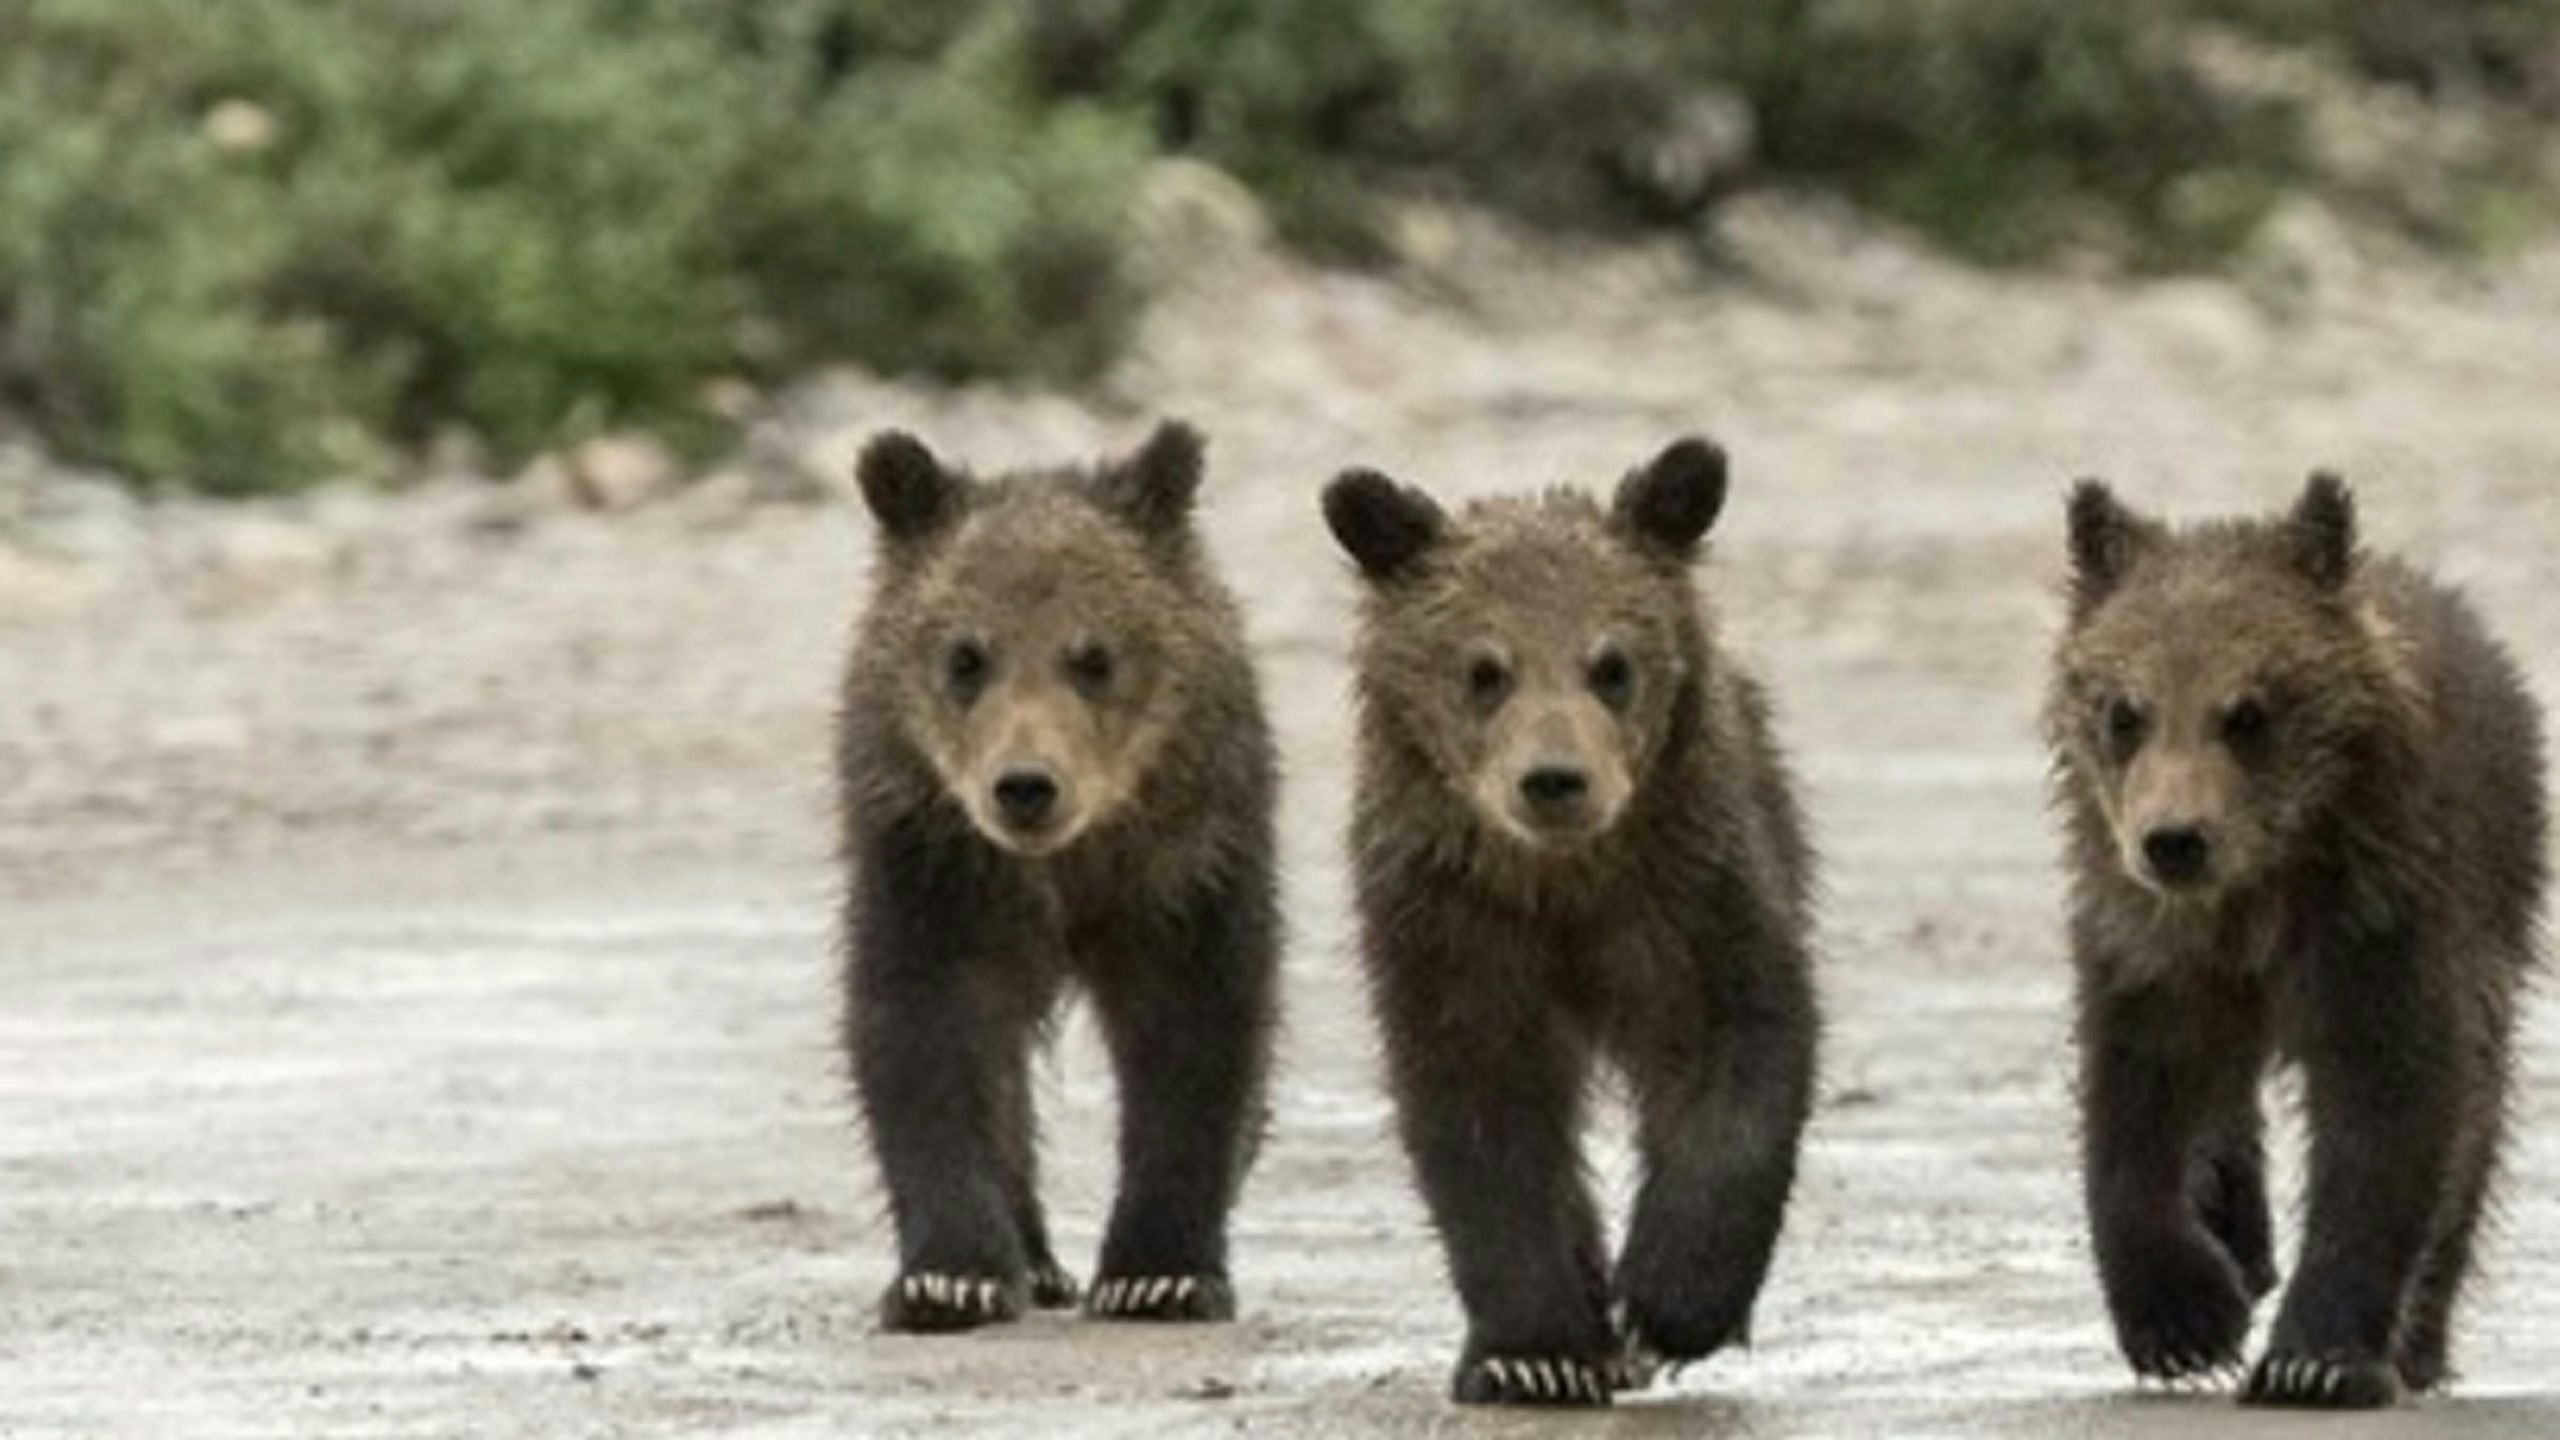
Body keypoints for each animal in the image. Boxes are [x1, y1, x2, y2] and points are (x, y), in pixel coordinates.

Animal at [838, 420, 1280, 1333]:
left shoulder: (1185, 862)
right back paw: (1036, 1263)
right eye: (966, 656)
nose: (1026, 786)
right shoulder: (932, 858)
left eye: (1094, 657)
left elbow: (1195, 1031)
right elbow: (926, 1029)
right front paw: (951, 1278)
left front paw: (1159, 1275)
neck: (1067, 864)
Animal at [1321, 438, 1820, 1407]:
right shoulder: (1452, 924)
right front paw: (1534, 1351)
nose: (1554, 779)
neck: (1561, 886)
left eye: (1612, 663)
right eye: (1483, 669)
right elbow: (1479, 1115)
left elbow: (1740, 1053)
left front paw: (1666, 1305)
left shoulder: (1689, 894)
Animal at [2049, 473, 2546, 1408]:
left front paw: (2314, 1360)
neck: (2255, 893)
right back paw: (2240, 1238)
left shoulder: (2380, 920)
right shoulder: (2146, 940)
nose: (2175, 840)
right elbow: (2134, 1097)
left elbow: (2387, 1110)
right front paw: (2183, 1321)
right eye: (2125, 711)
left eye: (2248, 711)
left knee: (2477, 1118)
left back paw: (2418, 1339)